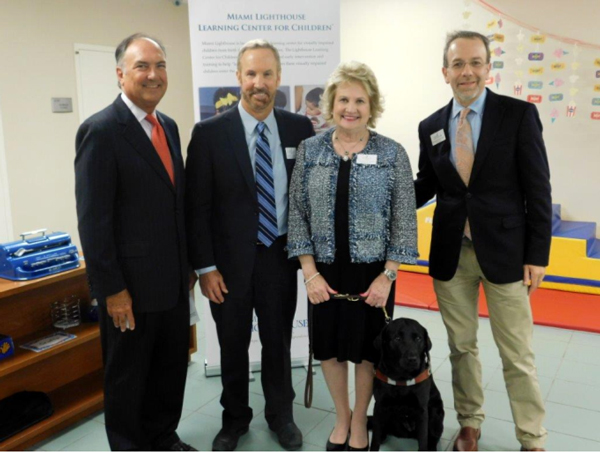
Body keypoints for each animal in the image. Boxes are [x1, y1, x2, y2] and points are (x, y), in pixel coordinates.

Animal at [370, 318, 446, 452]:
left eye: (418, 339)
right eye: (397, 339)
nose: (412, 359)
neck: (402, 379)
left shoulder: (422, 411)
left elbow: (423, 440)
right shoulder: (379, 406)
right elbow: (375, 438)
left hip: (436, 414)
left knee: (433, 437)